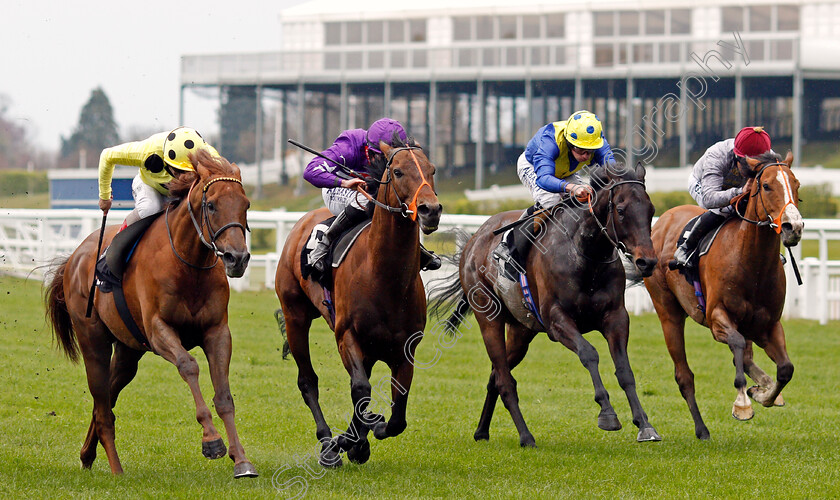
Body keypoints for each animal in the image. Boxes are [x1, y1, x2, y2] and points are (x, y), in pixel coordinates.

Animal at [43, 150, 256, 478]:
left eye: (245, 205)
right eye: (211, 204)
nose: (237, 258)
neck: (189, 266)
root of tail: (74, 257)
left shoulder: (217, 332)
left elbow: (224, 396)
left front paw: (242, 460)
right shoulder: (159, 330)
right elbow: (188, 365)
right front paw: (212, 441)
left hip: (127, 353)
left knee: (105, 400)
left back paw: (87, 455)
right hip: (93, 342)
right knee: (102, 405)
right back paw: (116, 469)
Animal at [278, 139, 446, 466]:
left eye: (432, 169)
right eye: (397, 171)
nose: (430, 210)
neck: (383, 277)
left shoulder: (405, 349)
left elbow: (397, 414)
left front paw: (363, 437)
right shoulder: (347, 336)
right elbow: (361, 388)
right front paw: (347, 440)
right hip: (295, 317)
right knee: (308, 380)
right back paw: (327, 443)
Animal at [434, 163, 664, 446]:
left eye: (651, 210)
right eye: (620, 210)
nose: (647, 262)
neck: (585, 254)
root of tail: (473, 240)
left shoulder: (616, 317)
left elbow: (624, 370)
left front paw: (644, 424)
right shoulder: (557, 320)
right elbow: (589, 353)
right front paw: (608, 414)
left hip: (522, 331)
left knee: (496, 376)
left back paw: (482, 431)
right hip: (489, 319)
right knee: (504, 380)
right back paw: (525, 436)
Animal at [648, 150, 804, 440]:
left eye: (796, 184)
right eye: (767, 186)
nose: (794, 227)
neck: (752, 262)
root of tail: (662, 220)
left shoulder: (769, 325)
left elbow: (785, 369)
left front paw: (763, 393)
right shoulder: (717, 319)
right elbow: (738, 345)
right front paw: (742, 404)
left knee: (748, 357)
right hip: (668, 313)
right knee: (684, 375)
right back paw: (702, 429)